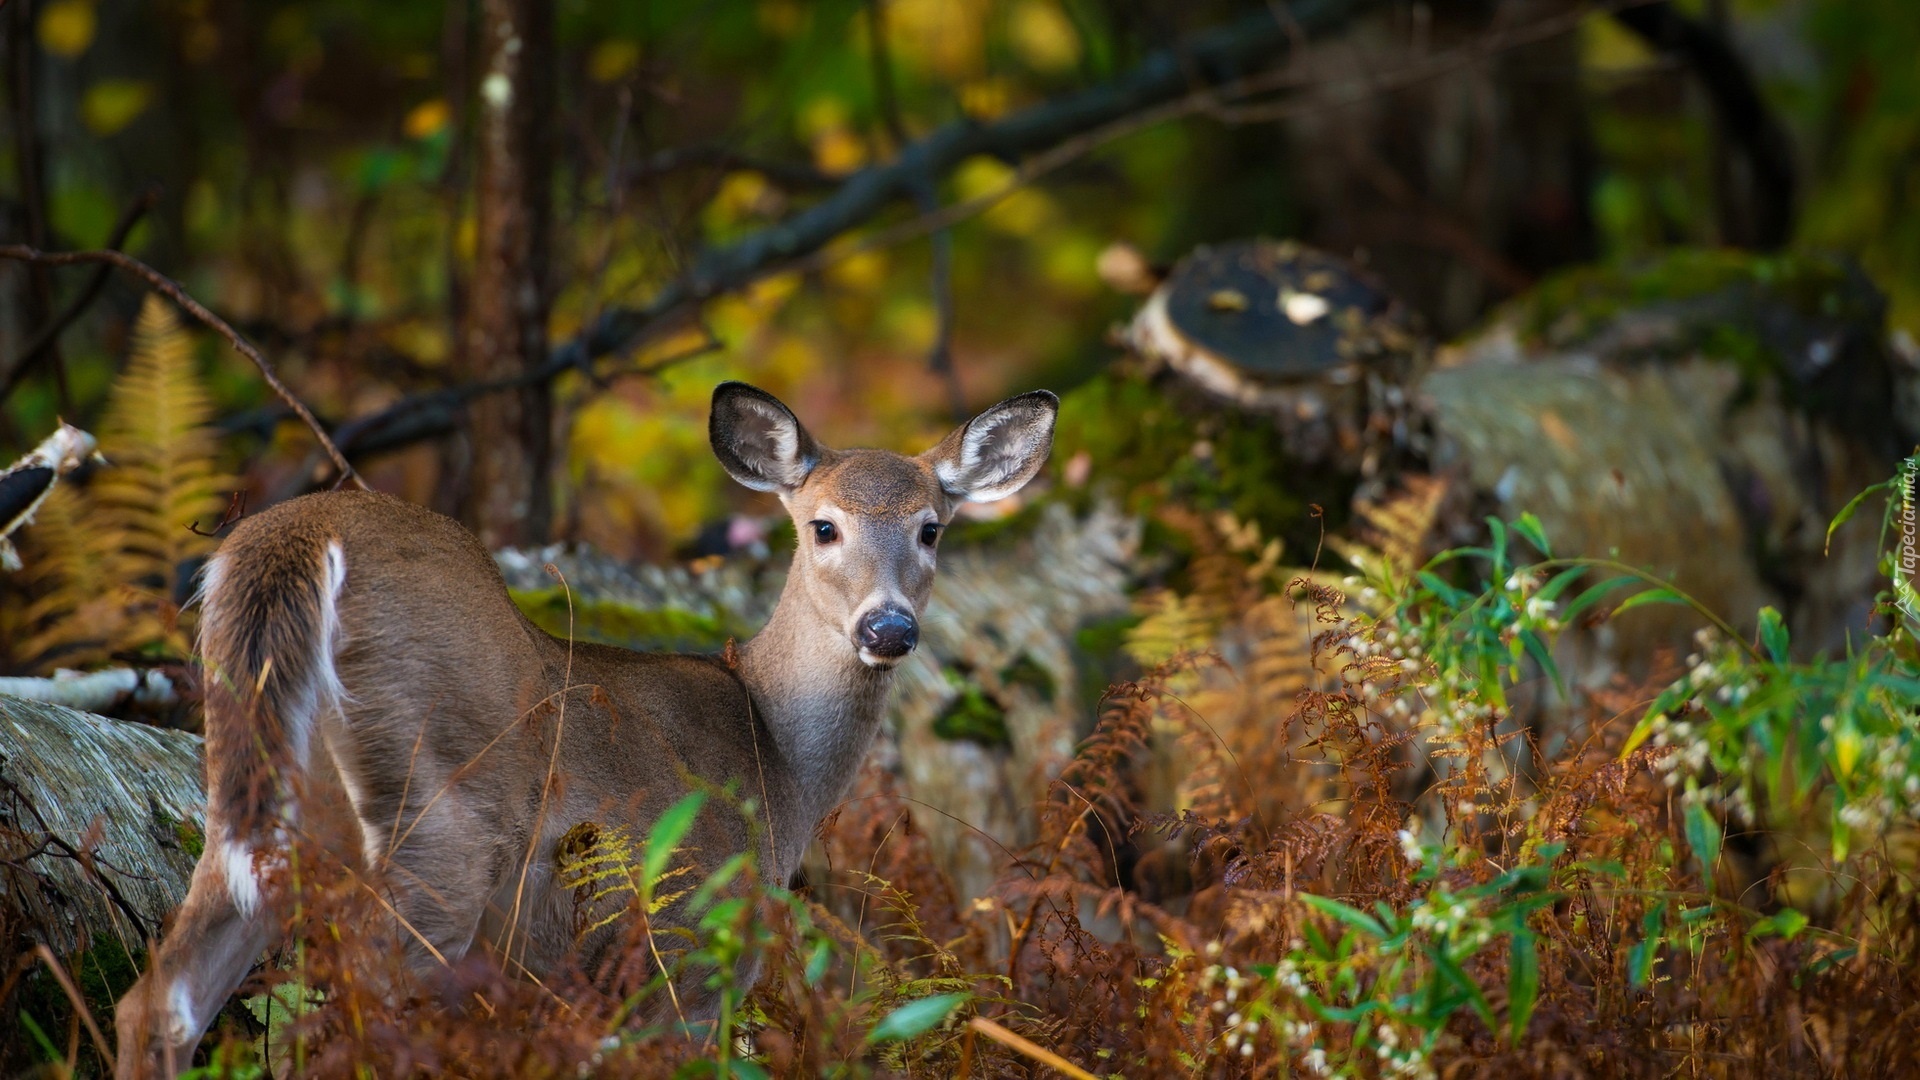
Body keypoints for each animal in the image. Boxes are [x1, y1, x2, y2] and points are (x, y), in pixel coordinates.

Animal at [112, 382, 1059, 1068]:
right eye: (823, 526)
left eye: (931, 529)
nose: (888, 628)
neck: (776, 762)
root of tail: (295, 538)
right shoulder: (687, 942)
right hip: (445, 808)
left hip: (255, 796)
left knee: (161, 1000)